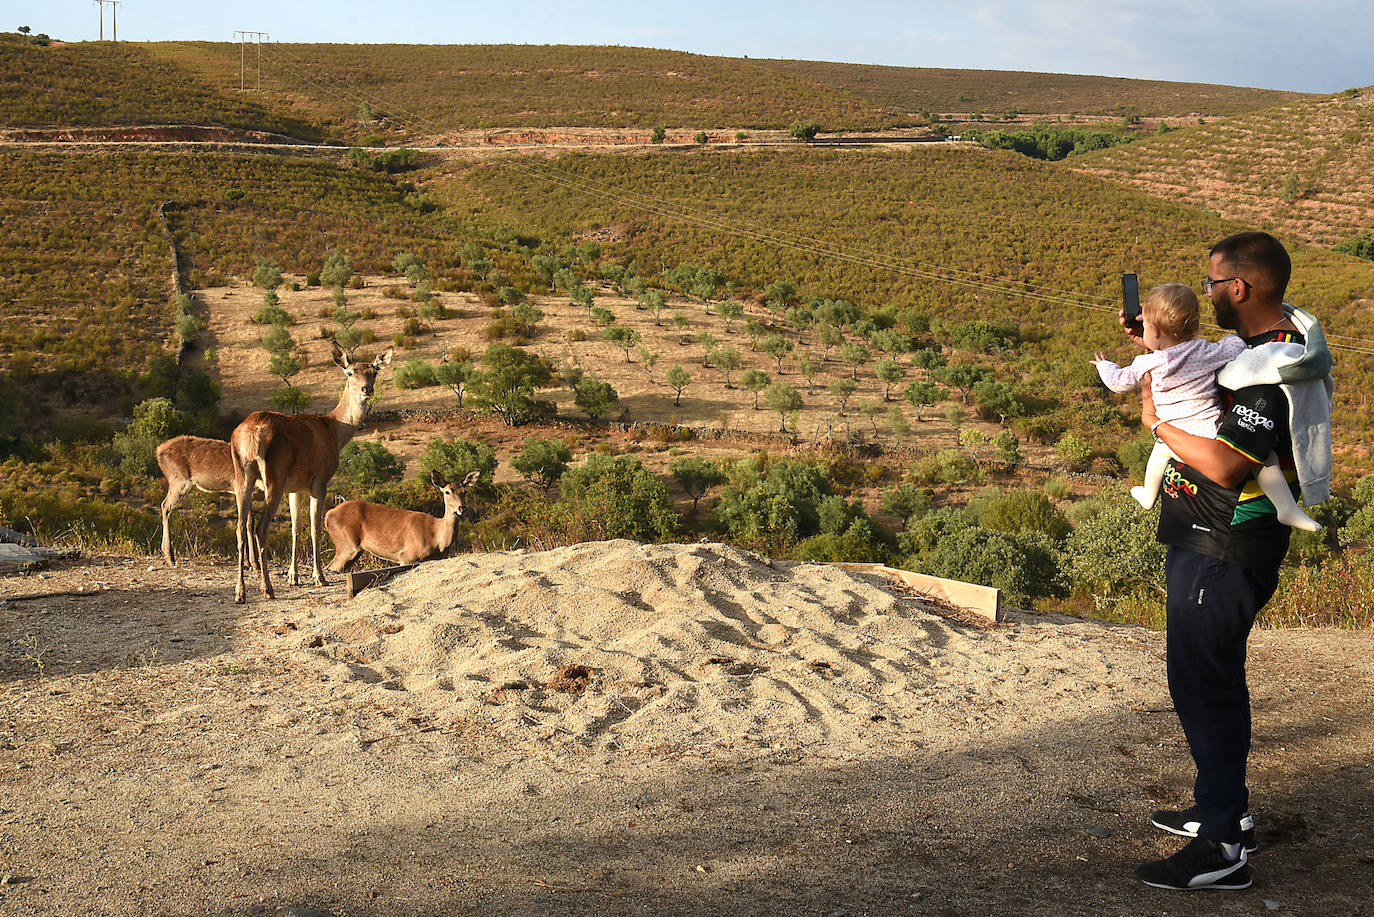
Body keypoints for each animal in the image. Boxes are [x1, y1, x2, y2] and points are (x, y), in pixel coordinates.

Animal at [230, 340, 392, 604]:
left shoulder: (294, 487)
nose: (366, 389)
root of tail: (249, 436)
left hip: (242, 476)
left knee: (240, 527)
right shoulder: (320, 480)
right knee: (260, 528)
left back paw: (240, 592)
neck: (335, 432)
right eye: (350, 373)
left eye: (374, 372)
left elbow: (296, 527)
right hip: (274, 475)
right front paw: (319, 577)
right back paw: (267, 589)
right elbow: (315, 526)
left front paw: (293, 576)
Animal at [327, 470, 483, 569]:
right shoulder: (407, 555)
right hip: (347, 545)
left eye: (465, 491)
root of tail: (328, 515)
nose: (462, 508)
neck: (437, 540)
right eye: (447, 492)